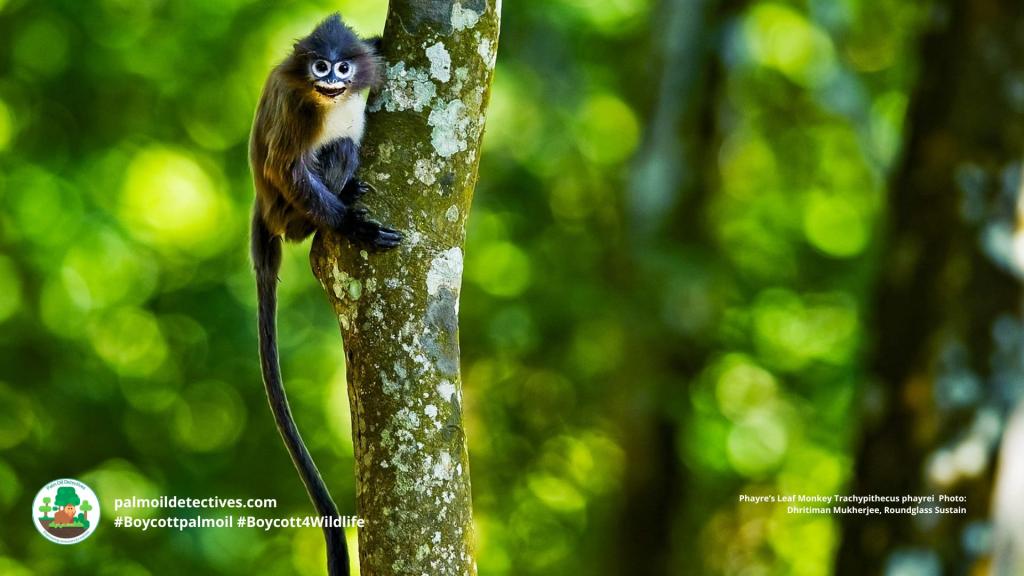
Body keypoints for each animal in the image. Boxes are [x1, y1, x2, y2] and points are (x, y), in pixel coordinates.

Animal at [247, 13, 399, 573]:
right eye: (319, 67)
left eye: (342, 67)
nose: (331, 78)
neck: (330, 102)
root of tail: (263, 212)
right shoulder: (296, 107)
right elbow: (285, 166)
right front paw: (355, 228)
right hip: (287, 212)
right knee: (338, 150)